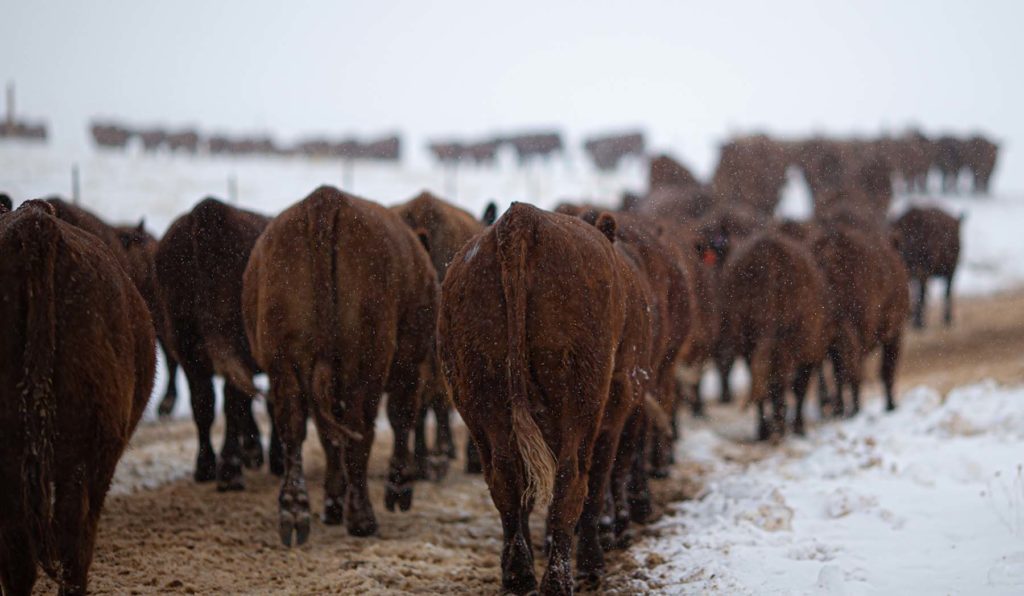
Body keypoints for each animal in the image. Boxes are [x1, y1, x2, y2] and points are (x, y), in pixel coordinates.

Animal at [242, 186, 436, 544]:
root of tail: (324, 202)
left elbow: (328, 437)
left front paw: (332, 502)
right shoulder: (409, 362)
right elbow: (402, 417)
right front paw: (399, 488)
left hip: (285, 363)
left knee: (295, 427)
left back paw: (295, 511)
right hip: (365, 365)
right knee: (361, 432)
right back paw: (362, 518)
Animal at [438, 204, 647, 593]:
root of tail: (522, 219)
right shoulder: (615, 407)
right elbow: (600, 479)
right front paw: (592, 559)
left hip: (480, 393)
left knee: (505, 478)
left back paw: (518, 575)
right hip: (583, 400)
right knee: (572, 481)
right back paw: (562, 578)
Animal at [716, 231, 827, 442]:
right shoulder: (809, 351)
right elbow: (798, 386)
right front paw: (796, 427)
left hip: (751, 339)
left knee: (764, 380)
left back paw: (766, 429)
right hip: (791, 341)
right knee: (780, 381)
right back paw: (778, 428)